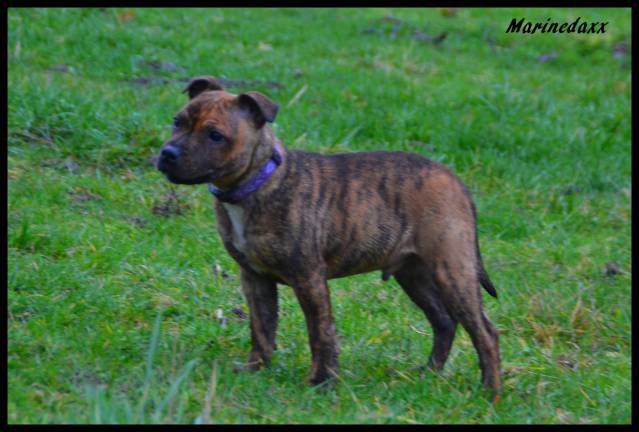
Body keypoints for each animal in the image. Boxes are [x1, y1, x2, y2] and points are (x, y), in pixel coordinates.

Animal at [158, 75, 502, 398]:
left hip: (452, 270)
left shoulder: (309, 278)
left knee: (485, 332)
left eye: (215, 135)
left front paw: (322, 381)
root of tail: (455, 181)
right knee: (443, 321)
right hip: (413, 274)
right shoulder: (255, 278)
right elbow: (261, 327)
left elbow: (320, 333)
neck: (256, 182)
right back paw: (428, 373)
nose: (167, 153)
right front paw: (256, 369)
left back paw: (490, 392)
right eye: (177, 121)